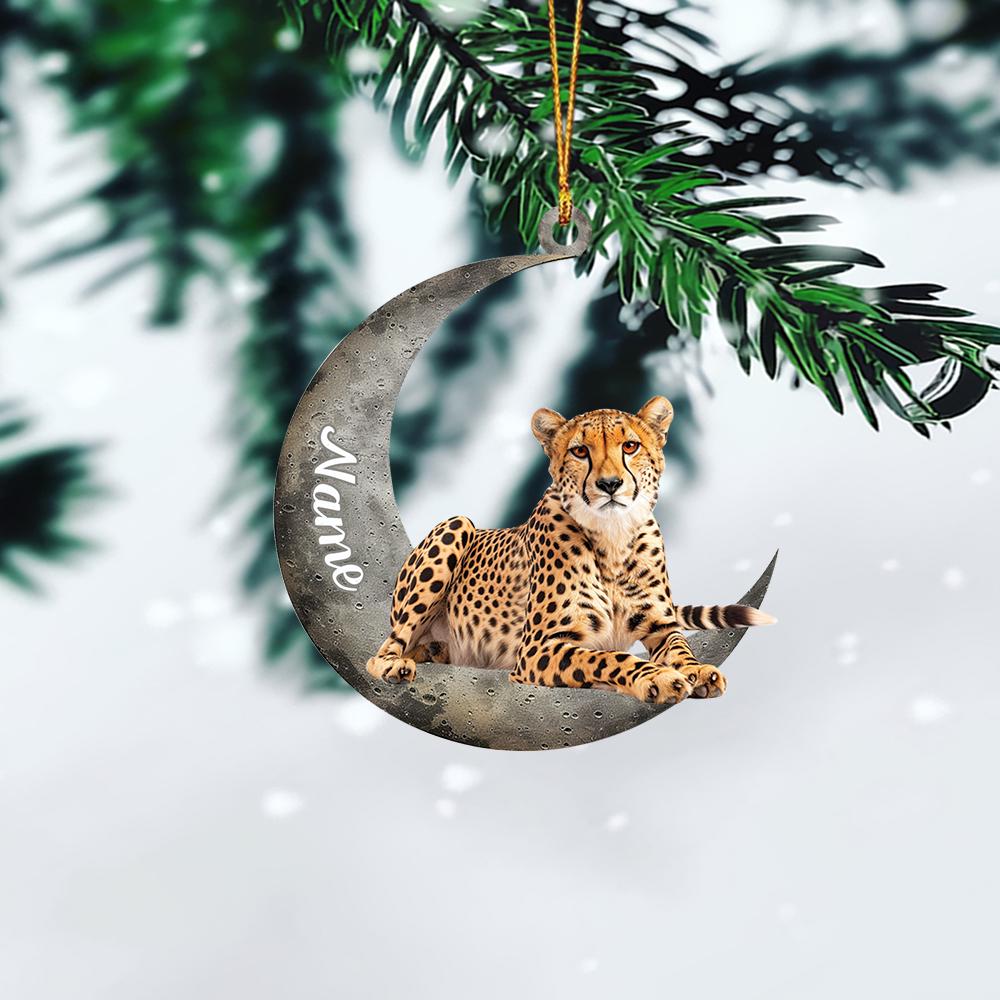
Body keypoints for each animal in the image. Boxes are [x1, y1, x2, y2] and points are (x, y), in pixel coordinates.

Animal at [367, 396, 775, 705]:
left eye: (630, 446)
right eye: (580, 451)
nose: (610, 484)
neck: (612, 538)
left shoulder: (660, 625)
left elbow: (679, 647)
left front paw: (697, 670)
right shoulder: (538, 649)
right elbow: (609, 658)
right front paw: (657, 678)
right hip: (457, 524)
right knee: (384, 649)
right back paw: (395, 665)